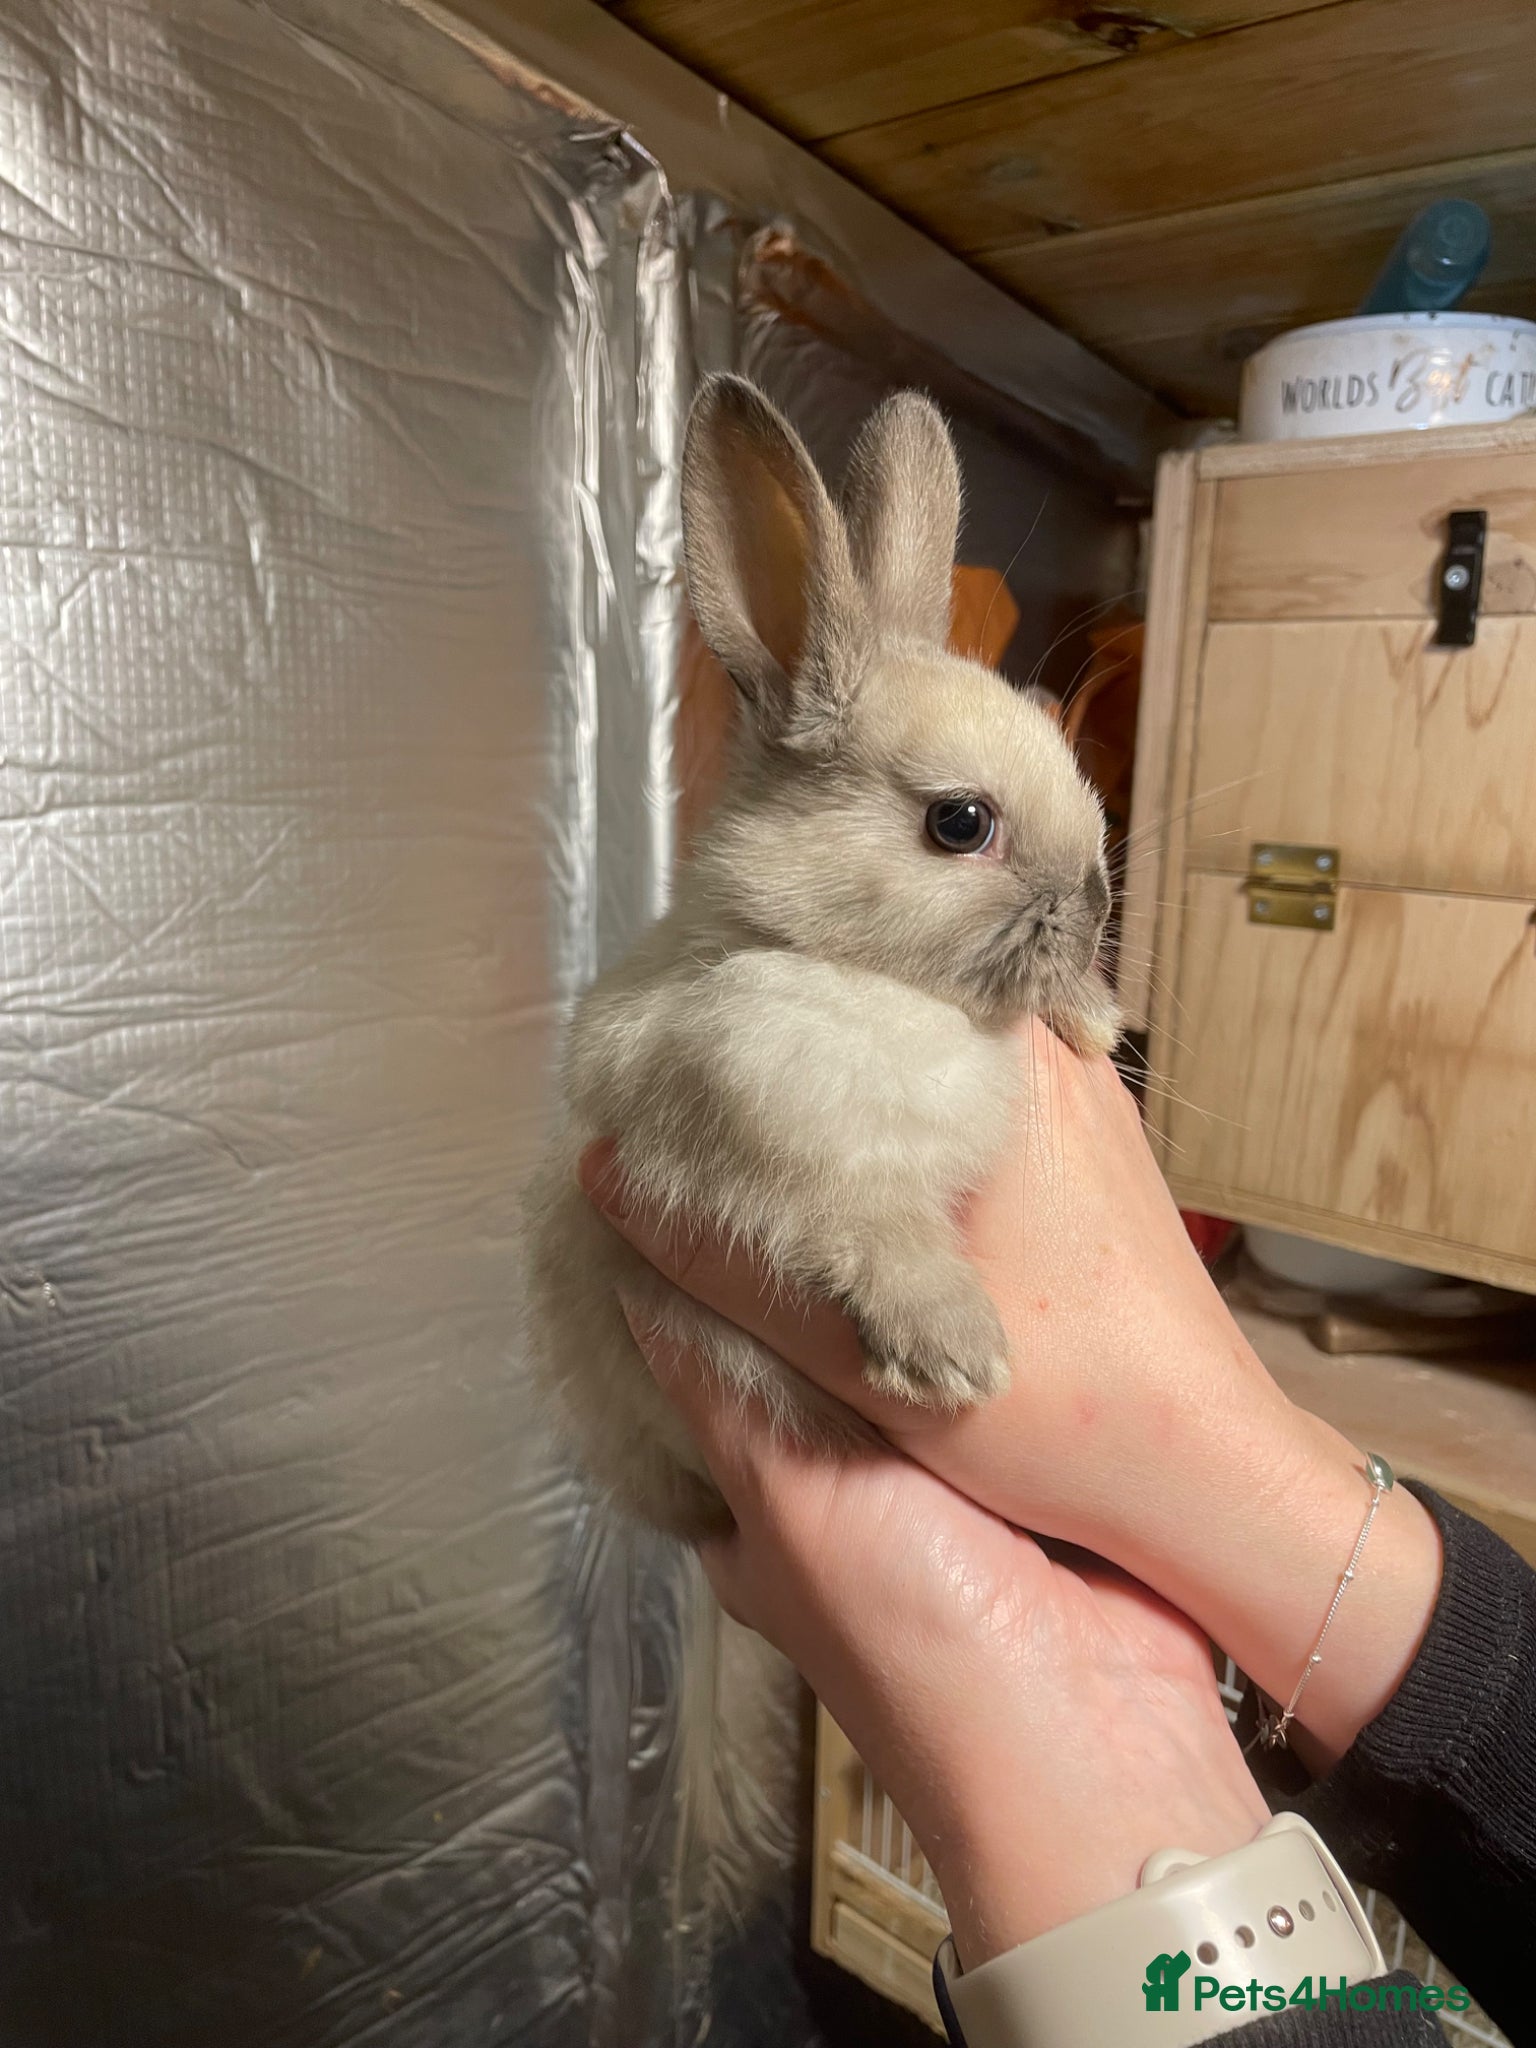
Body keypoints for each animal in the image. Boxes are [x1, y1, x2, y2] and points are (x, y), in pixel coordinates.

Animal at [523, 374, 1120, 1540]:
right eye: (960, 822)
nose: (1096, 905)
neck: (865, 978)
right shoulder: (759, 1148)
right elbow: (861, 1223)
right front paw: (956, 1354)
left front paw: (1096, 1016)